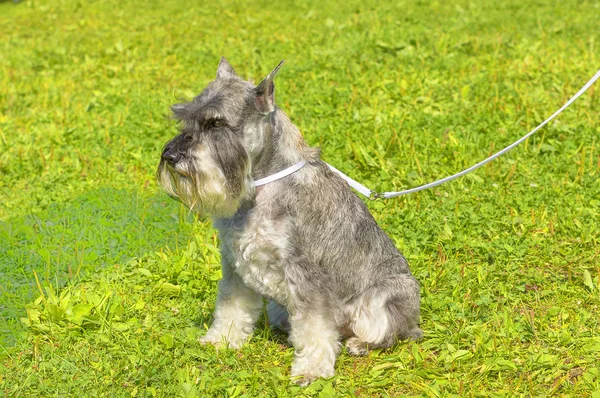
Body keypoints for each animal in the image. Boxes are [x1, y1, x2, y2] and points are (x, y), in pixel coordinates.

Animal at [157, 57, 424, 384]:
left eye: (216, 123)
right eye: (186, 119)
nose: (170, 155)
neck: (258, 189)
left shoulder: (306, 274)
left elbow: (315, 326)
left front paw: (311, 369)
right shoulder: (235, 265)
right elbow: (231, 306)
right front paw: (221, 339)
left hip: (386, 298)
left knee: (389, 333)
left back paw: (360, 344)